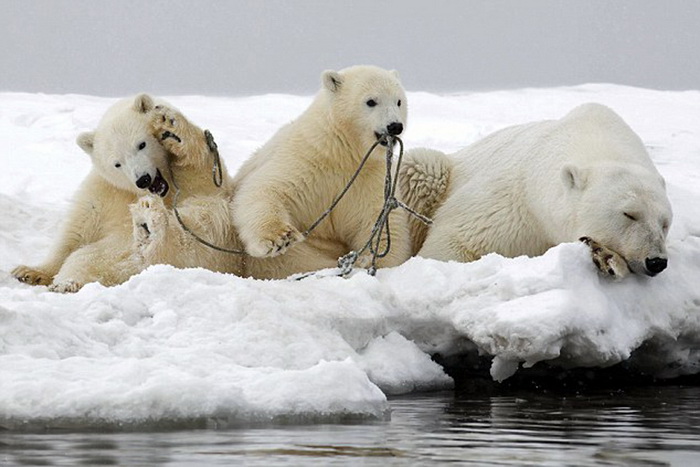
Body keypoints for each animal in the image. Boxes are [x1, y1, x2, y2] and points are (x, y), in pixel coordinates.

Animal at [12, 94, 171, 292]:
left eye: (142, 144)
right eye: (117, 163)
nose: (143, 179)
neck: (132, 192)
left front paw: (68, 279)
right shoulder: (105, 188)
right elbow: (78, 228)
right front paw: (30, 272)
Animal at [232, 64, 412, 280]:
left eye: (399, 101)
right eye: (371, 101)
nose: (395, 126)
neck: (342, 151)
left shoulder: (369, 175)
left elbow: (379, 219)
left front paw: (370, 260)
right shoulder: (306, 159)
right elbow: (268, 189)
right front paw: (280, 238)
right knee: (294, 260)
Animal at [400, 102, 672, 280]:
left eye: (665, 222)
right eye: (629, 214)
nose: (656, 261)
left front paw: (605, 257)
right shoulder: (512, 201)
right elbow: (455, 240)